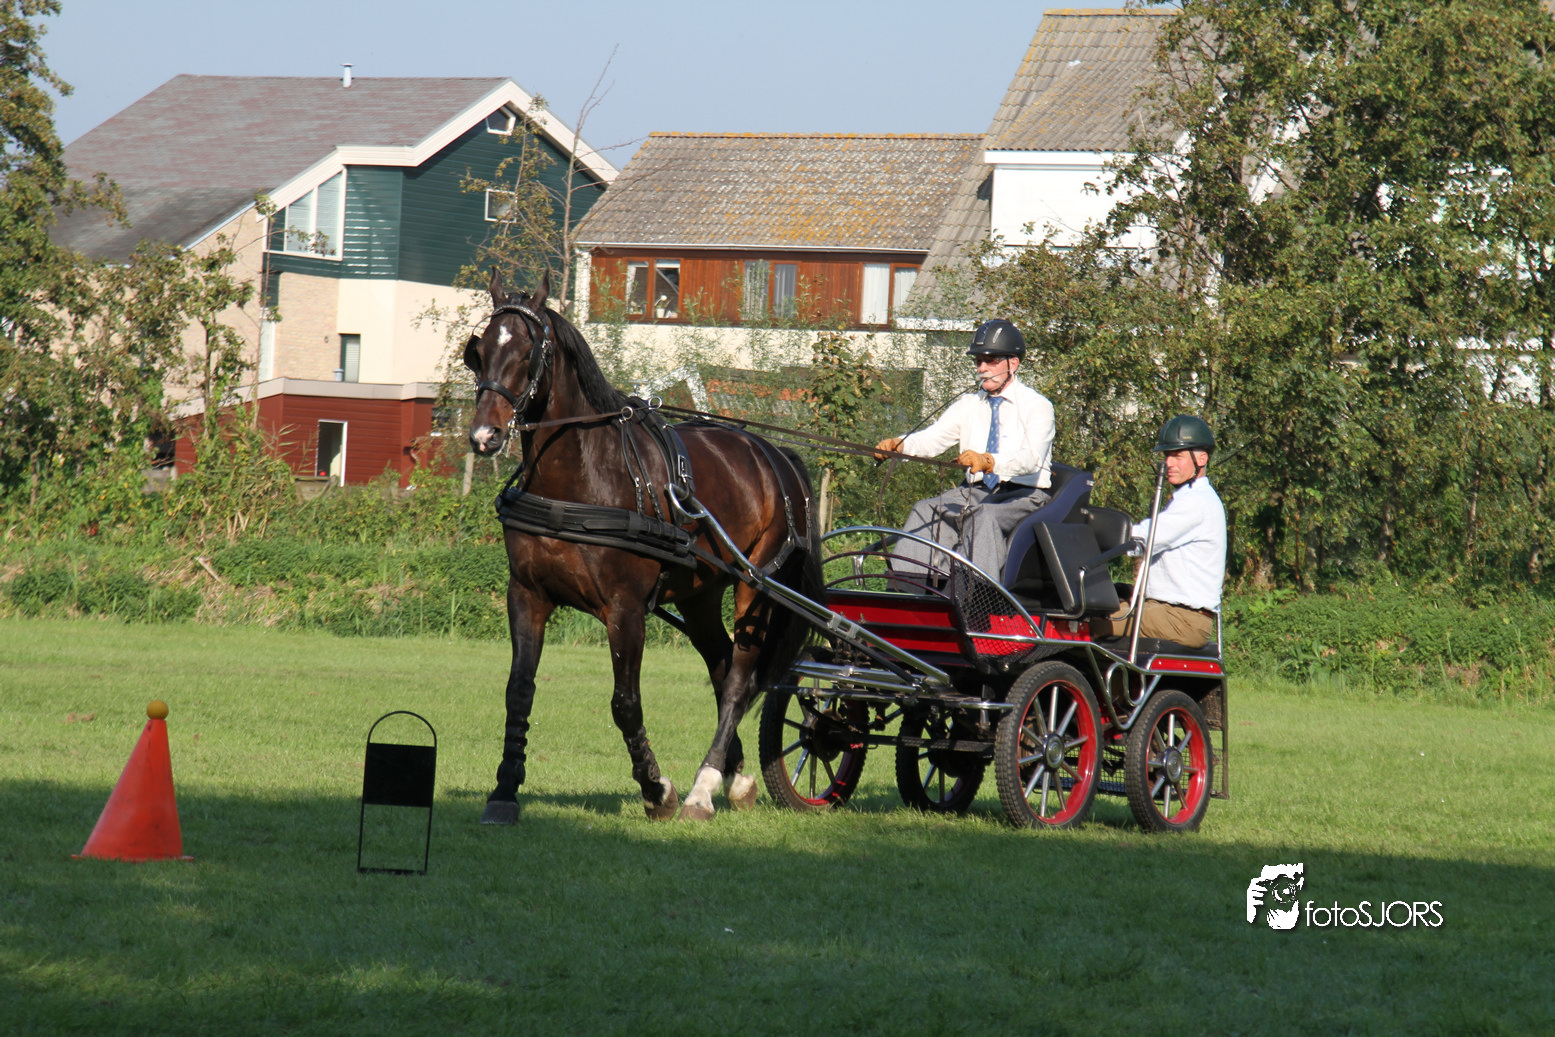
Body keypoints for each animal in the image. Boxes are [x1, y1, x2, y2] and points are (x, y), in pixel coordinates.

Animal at [464, 270, 824, 822]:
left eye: (527, 352)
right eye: (479, 351)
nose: (484, 435)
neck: (583, 477)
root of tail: (775, 454)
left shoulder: (625, 608)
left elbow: (625, 702)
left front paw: (657, 790)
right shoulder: (527, 594)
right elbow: (518, 692)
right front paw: (505, 789)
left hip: (756, 586)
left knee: (739, 678)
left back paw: (702, 790)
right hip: (700, 596)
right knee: (721, 668)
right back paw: (733, 778)